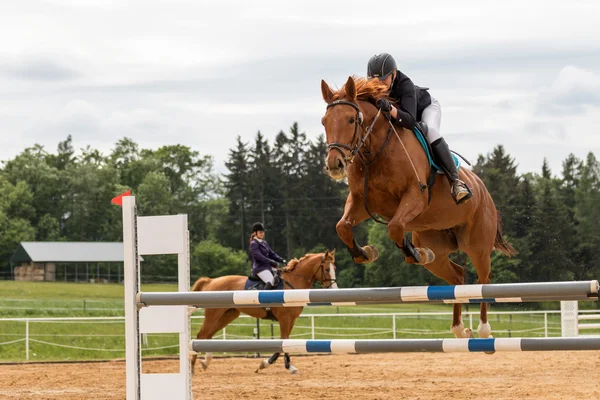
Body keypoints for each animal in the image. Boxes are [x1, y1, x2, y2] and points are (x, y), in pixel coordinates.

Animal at [190, 252, 338, 374]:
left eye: (334, 268)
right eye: (326, 269)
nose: (334, 289)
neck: (293, 283)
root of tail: (211, 281)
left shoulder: (291, 320)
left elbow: (286, 341)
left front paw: (284, 365)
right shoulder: (285, 319)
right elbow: (283, 341)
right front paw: (268, 364)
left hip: (227, 316)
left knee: (207, 336)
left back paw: (205, 362)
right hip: (213, 315)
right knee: (201, 336)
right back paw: (192, 367)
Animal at [318, 76, 516, 340]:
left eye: (351, 119)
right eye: (324, 121)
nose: (334, 164)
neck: (375, 152)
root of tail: (483, 190)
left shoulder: (415, 197)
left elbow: (394, 227)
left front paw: (412, 253)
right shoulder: (361, 201)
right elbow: (343, 226)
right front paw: (365, 253)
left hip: (477, 245)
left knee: (484, 279)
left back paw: (483, 329)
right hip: (436, 246)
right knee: (457, 275)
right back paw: (459, 329)